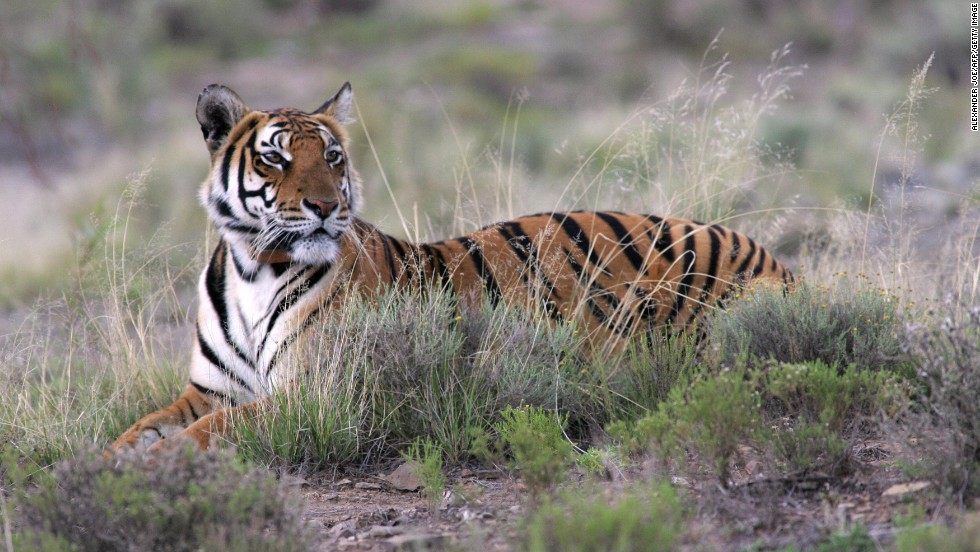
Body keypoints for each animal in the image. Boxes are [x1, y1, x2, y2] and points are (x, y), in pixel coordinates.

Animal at [111, 83, 792, 452]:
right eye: (275, 159)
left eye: (332, 157)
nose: (326, 207)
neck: (256, 266)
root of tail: (767, 253)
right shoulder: (206, 391)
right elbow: (145, 425)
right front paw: (106, 460)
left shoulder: (316, 393)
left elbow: (211, 432)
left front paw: (154, 465)